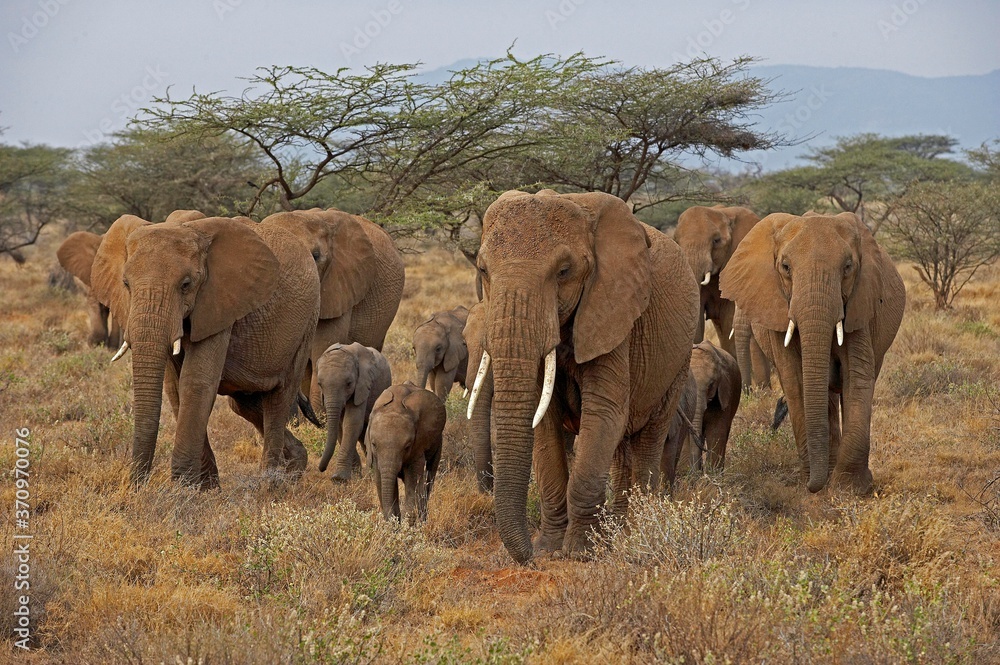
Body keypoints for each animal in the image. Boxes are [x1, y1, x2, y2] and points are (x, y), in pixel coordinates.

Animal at [91, 214, 320, 488]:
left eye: (186, 285)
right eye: (126, 284)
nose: (137, 483)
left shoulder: (220, 303)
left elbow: (196, 382)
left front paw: (182, 489)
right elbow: (174, 387)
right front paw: (205, 488)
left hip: (306, 324)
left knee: (279, 398)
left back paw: (270, 483)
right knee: (245, 405)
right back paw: (295, 465)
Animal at [315, 342, 392, 481]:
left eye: (349, 383)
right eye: (319, 384)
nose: (321, 469)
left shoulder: (362, 386)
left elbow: (352, 423)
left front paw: (339, 479)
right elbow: (340, 426)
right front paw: (354, 477)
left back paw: (371, 474)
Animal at [365, 383, 446, 523]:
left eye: (407, 446)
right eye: (374, 445)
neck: (395, 408)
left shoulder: (418, 445)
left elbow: (412, 480)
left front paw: (406, 523)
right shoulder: (376, 456)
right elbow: (380, 480)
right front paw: (394, 523)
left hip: (437, 440)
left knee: (430, 474)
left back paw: (423, 519)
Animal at [467, 189, 699, 563]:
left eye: (564, 271)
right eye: (483, 269)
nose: (528, 558)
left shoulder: (613, 313)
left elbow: (603, 413)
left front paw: (579, 552)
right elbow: (544, 423)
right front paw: (549, 549)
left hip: (678, 360)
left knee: (648, 438)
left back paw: (634, 533)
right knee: (621, 447)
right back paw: (616, 531)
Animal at [719, 211, 905, 495]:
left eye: (848, 267)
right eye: (785, 267)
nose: (811, 486)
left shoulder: (860, 302)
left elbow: (857, 377)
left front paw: (850, 488)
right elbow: (795, 380)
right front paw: (818, 478)